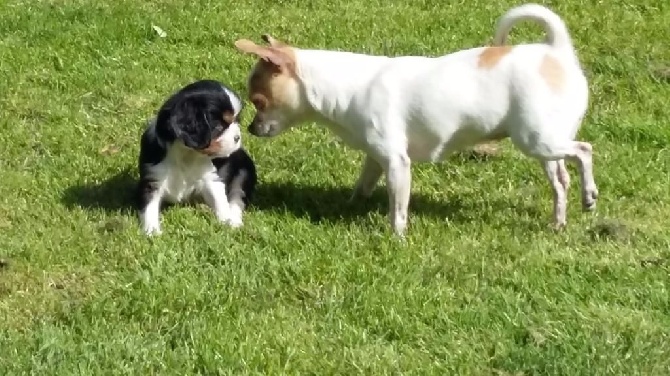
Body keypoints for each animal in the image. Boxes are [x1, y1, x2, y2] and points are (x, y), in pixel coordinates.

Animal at [136, 79, 258, 235]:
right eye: (218, 126)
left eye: (236, 121)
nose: (237, 138)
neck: (187, 153)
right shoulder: (153, 179)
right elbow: (149, 206)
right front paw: (152, 231)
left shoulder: (211, 178)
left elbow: (219, 199)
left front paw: (227, 221)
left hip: (245, 170)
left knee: (237, 197)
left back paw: (235, 221)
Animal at [235, 3, 600, 235]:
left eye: (259, 102)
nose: (251, 128)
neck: (344, 86)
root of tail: (556, 51)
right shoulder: (376, 157)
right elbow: (363, 185)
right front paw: (350, 206)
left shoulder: (398, 163)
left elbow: (398, 205)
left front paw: (396, 236)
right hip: (544, 143)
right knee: (560, 180)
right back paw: (559, 222)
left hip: (536, 139)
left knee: (584, 150)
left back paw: (589, 195)